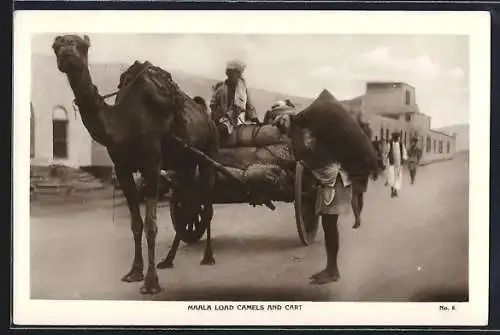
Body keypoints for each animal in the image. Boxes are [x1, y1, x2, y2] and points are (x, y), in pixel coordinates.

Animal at [51, 35, 218, 296]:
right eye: (55, 46)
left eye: (82, 45)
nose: (66, 51)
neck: (123, 122)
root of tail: (205, 113)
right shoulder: (122, 169)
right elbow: (136, 224)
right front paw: (134, 272)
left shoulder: (151, 163)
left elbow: (151, 224)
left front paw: (151, 282)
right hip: (184, 162)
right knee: (188, 203)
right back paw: (168, 259)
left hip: (209, 151)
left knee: (207, 204)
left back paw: (208, 256)